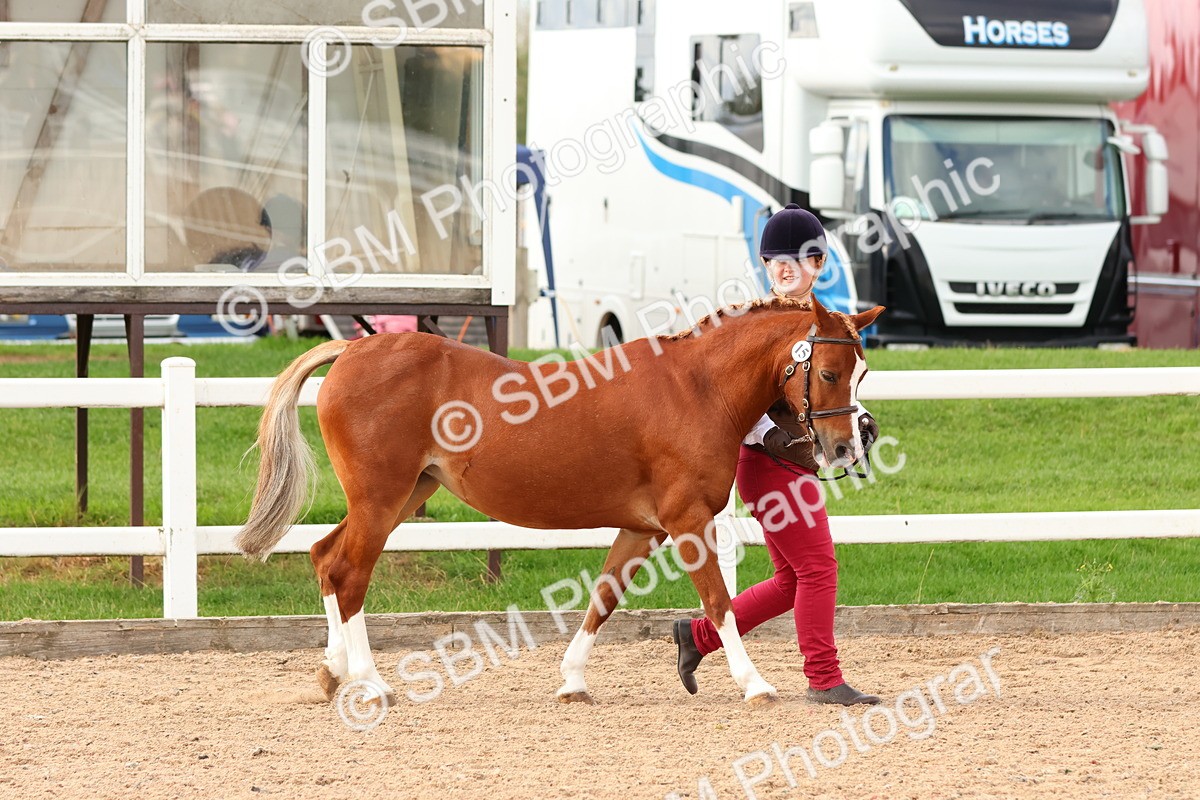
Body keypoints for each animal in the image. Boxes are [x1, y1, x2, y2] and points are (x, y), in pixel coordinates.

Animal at [235, 296, 884, 707]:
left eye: (861, 372)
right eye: (828, 372)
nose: (847, 446)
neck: (697, 389)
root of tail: (349, 352)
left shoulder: (644, 528)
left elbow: (604, 597)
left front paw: (572, 681)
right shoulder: (688, 522)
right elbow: (720, 603)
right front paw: (755, 685)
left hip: (400, 496)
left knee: (324, 557)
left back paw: (332, 673)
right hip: (380, 499)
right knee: (349, 573)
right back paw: (371, 684)